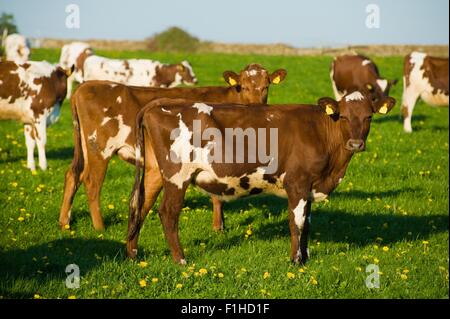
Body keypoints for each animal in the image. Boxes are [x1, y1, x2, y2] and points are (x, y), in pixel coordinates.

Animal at [59, 63, 288, 232]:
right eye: (243, 86)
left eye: (266, 86)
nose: (257, 106)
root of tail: (86, 86)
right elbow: (216, 196)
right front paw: (218, 227)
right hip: (100, 148)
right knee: (92, 182)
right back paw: (100, 227)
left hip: (85, 148)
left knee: (73, 175)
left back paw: (64, 222)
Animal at [125, 90, 394, 264]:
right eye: (344, 116)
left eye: (369, 116)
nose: (356, 143)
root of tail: (160, 102)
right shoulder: (297, 183)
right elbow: (296, 223)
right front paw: (295, 261)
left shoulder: (309, 187)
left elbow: (307, 223)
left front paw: (306, 257)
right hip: (177, 175)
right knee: (167, 213)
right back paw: (180, 260)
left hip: (154, 173)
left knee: (140, 205)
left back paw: (133, 254)